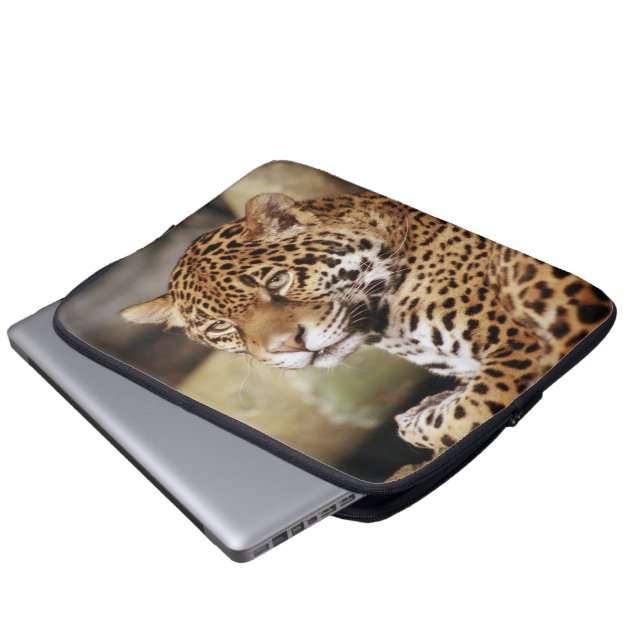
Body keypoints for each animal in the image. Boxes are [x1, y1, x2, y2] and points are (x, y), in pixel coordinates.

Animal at [121, 192, 612, 477]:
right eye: (221, 326)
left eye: (277, 280)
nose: (288, 346)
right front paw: (422, 415)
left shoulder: (519, 348)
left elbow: (466, 413)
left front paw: (421, 419)